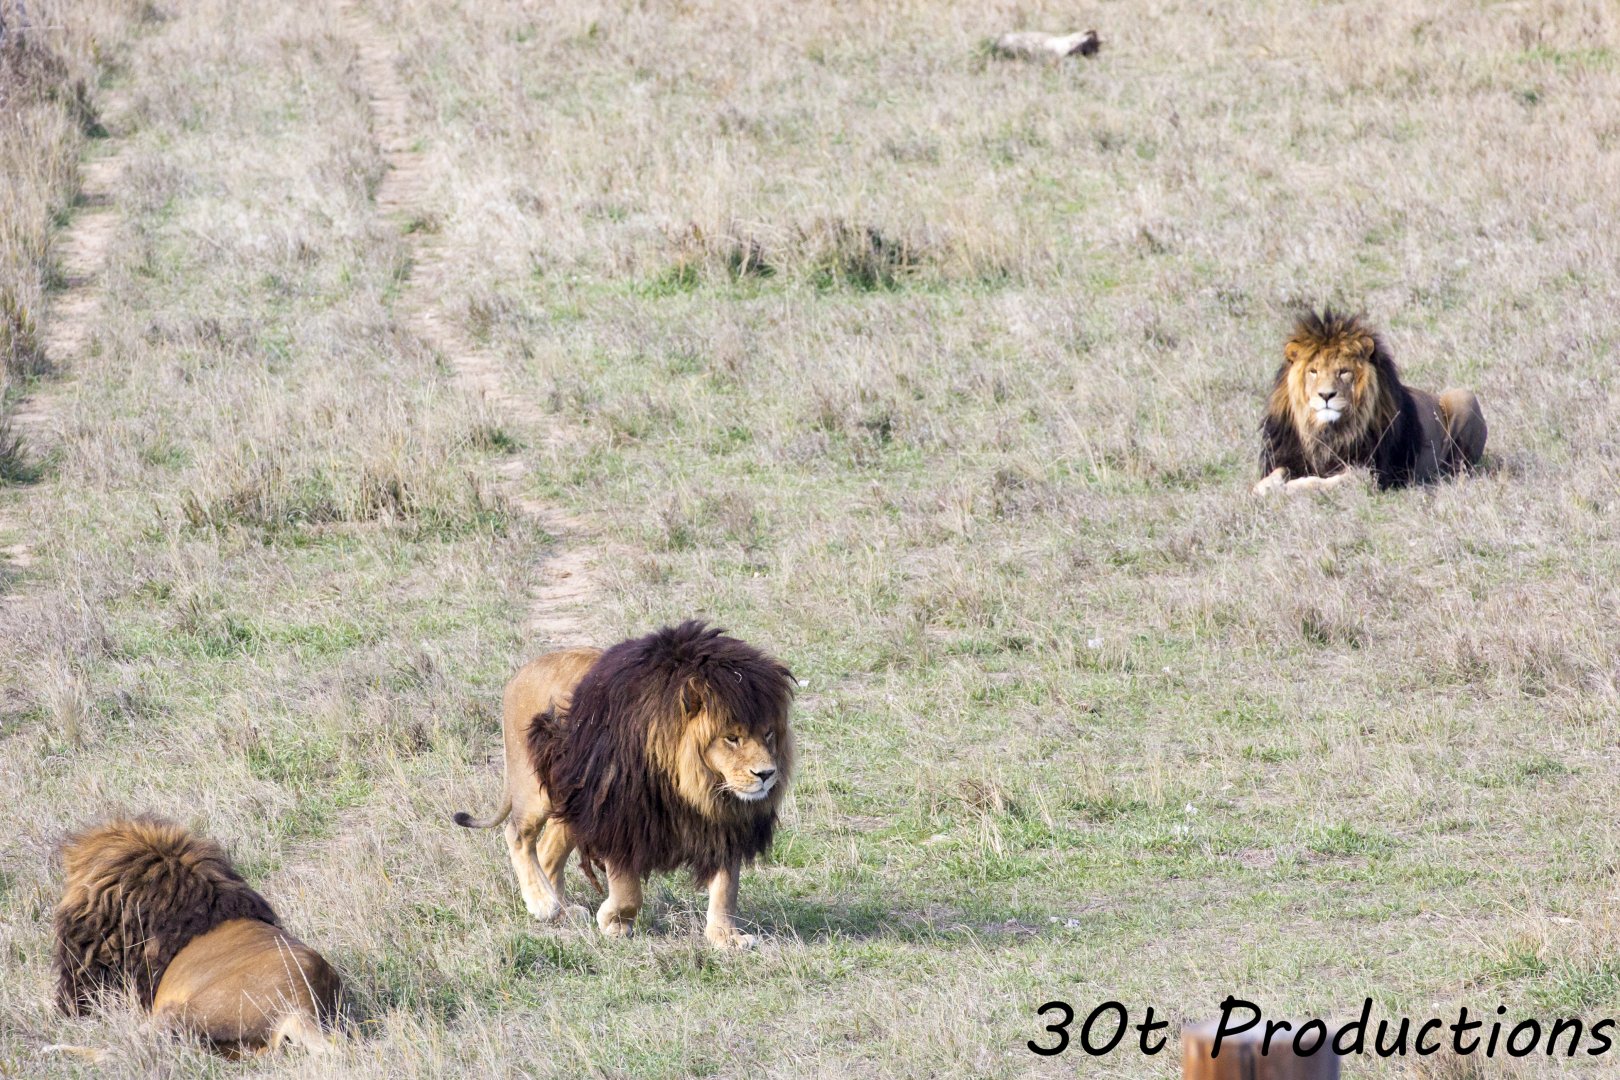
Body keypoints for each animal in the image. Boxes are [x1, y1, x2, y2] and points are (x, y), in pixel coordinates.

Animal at [455, 620, 795, 949]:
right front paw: (615, 922)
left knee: (548, 849)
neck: (698, 787)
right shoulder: (619, 815)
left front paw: (726, 938)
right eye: (731, 738)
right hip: (535, 789)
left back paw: (561, 910)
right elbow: (628, 887)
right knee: (518, 835)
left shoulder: (725, 825)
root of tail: (520, 673)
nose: (767, 774)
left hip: (573, 800)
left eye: (768, 734)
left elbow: (726, 887)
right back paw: (543, 904)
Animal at [1254, 309, 1487, 494]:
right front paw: (1264, 488)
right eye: (1313, 371)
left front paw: (1293, 486)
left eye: (1343, 372)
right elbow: (1273, 475)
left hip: (1464, 396)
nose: (1326, 395)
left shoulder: (1373, 471)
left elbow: (1328, 481)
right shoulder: (1288, 455)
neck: (1328, 432)